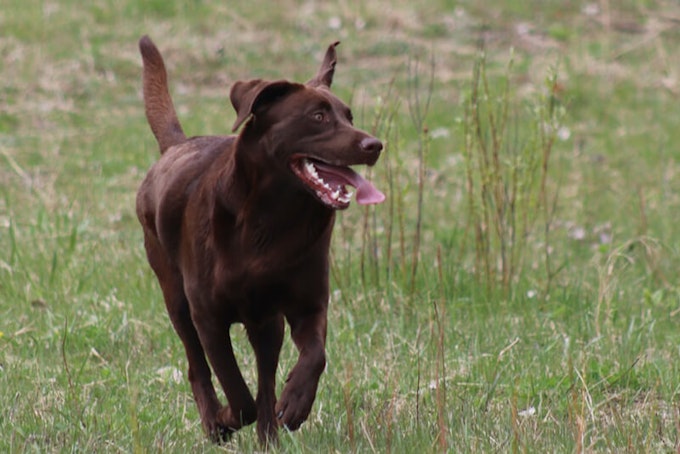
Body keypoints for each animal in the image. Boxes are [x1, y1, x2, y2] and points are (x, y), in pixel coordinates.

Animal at [135, 36, 386, 444]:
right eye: (317, 117)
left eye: (349, 116)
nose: (374, 145)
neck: (273, 221)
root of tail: (176, 146)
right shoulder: (208, 316)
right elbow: (237, 392)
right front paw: (226, 419)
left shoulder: (305, 305)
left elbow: (314, 356)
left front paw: (295, 404)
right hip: (176, 298)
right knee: (197, 367)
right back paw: (215, 420)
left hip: (266, 325)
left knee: (265, 381)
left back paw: (269, 435)